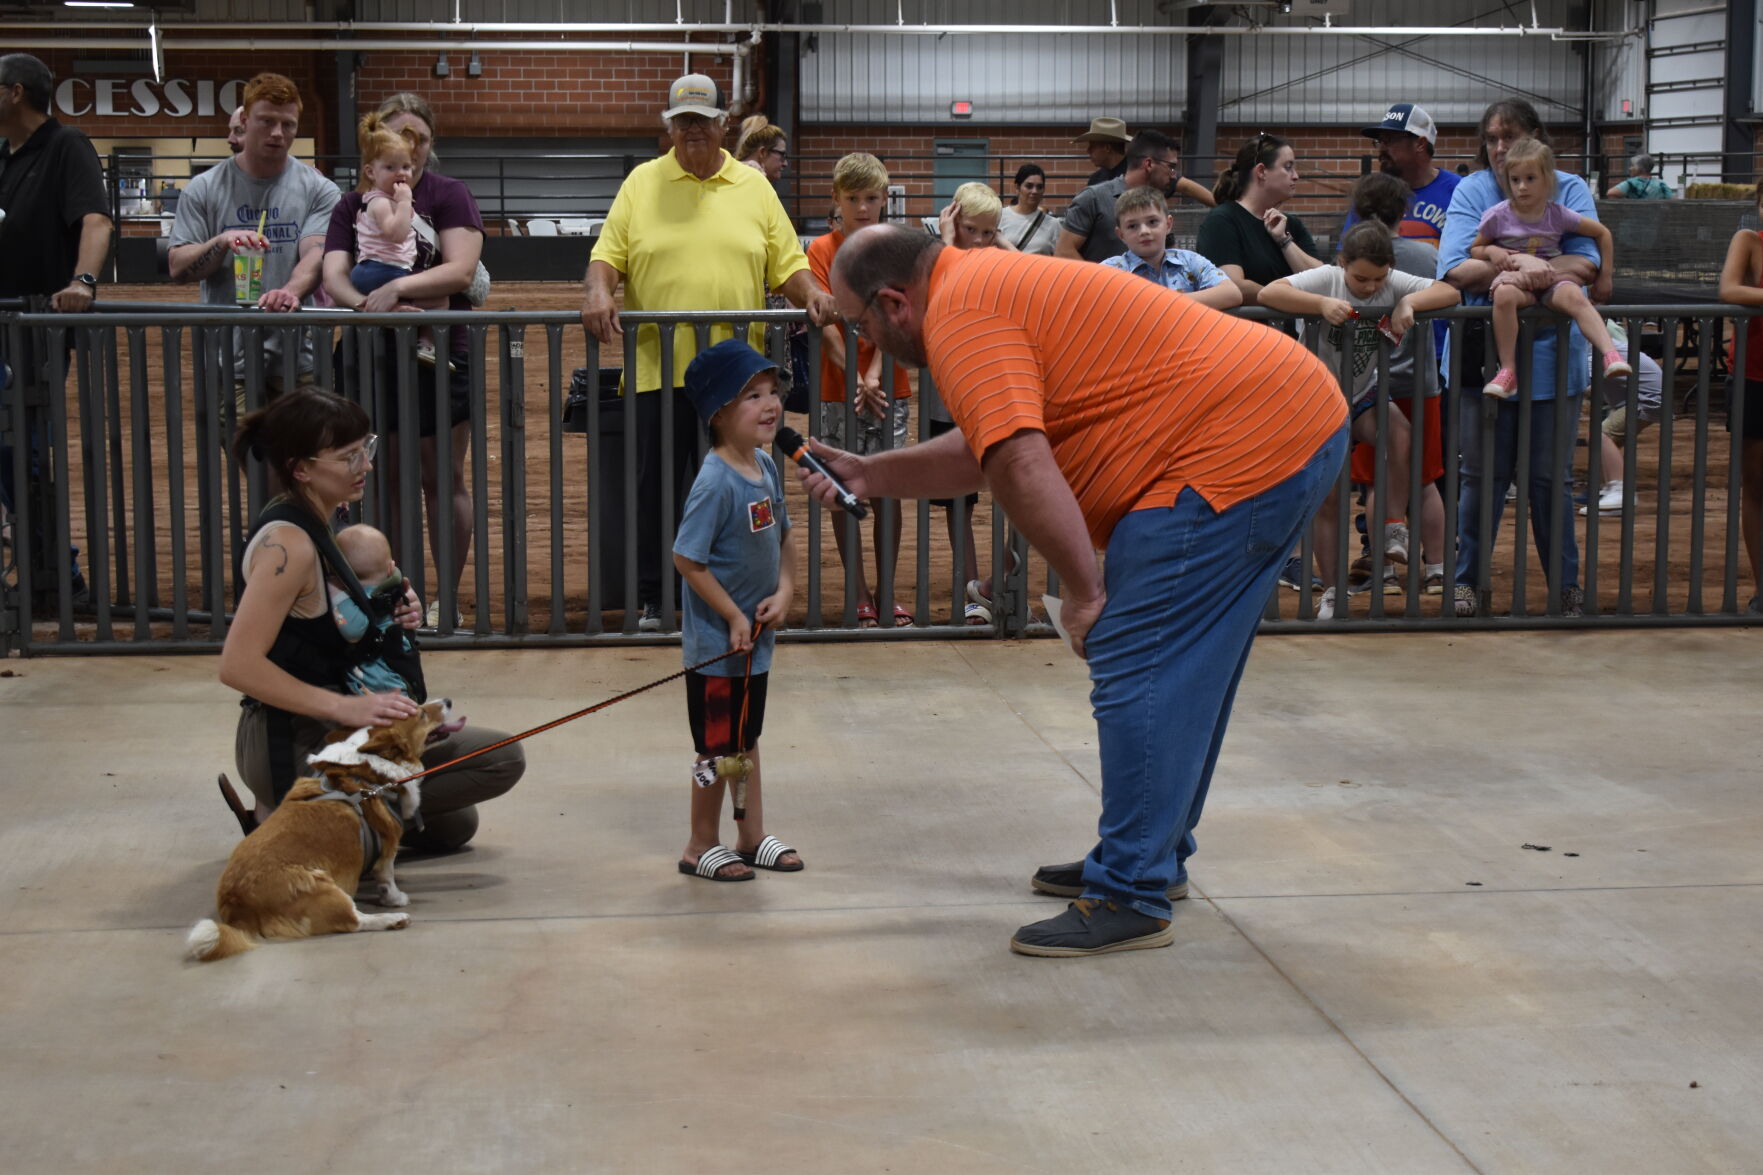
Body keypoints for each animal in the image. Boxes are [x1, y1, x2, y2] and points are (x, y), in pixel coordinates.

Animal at [186, 695, 465, 959]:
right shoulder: (388, 845)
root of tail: (236, 910)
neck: (366, 764)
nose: (448, 700)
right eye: (421, 713)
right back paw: (393, 920)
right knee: (353, 921)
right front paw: (396, 900)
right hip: (323, 887)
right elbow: (388, 877)